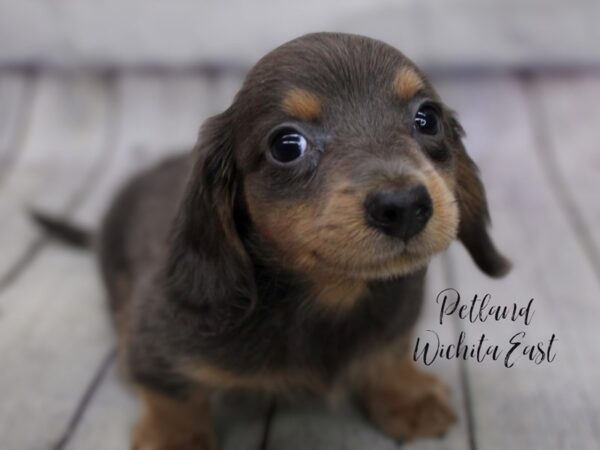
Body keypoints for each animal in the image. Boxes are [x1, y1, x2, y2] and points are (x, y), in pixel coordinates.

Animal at [96, 32, 508, 450]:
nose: (404, 206)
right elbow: (172, 397)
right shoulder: (160, 343)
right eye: (286, 145)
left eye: (428, 119)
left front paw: (406, 397)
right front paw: (175, 439)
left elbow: (388, 353)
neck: (332, 294)